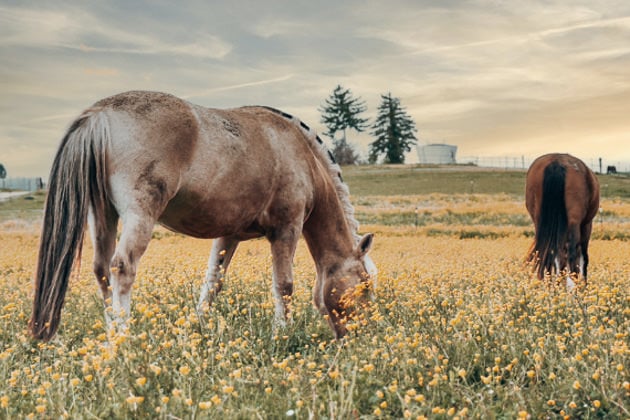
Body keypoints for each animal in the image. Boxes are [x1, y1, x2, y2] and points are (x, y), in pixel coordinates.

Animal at [29, 91, 378, 342]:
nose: (359, 338)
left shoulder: (229, 235)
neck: (302, 157)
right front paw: (282, 333)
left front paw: (199, 325)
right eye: (364, 286)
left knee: (102, 270)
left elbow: (213, 282)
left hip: (103, 214)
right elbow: (284, 285)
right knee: (121, 268)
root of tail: (100, 113)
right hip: (140, 214)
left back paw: (111, 331)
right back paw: (124, 339)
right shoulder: (286, 229)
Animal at [524, 153, 600, 288]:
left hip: (540, 222)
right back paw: (572, 286)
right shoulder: (586, 225)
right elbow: (583, 257)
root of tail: (556, 163)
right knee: (571, 253)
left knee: (549, 253)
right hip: (575, 222)